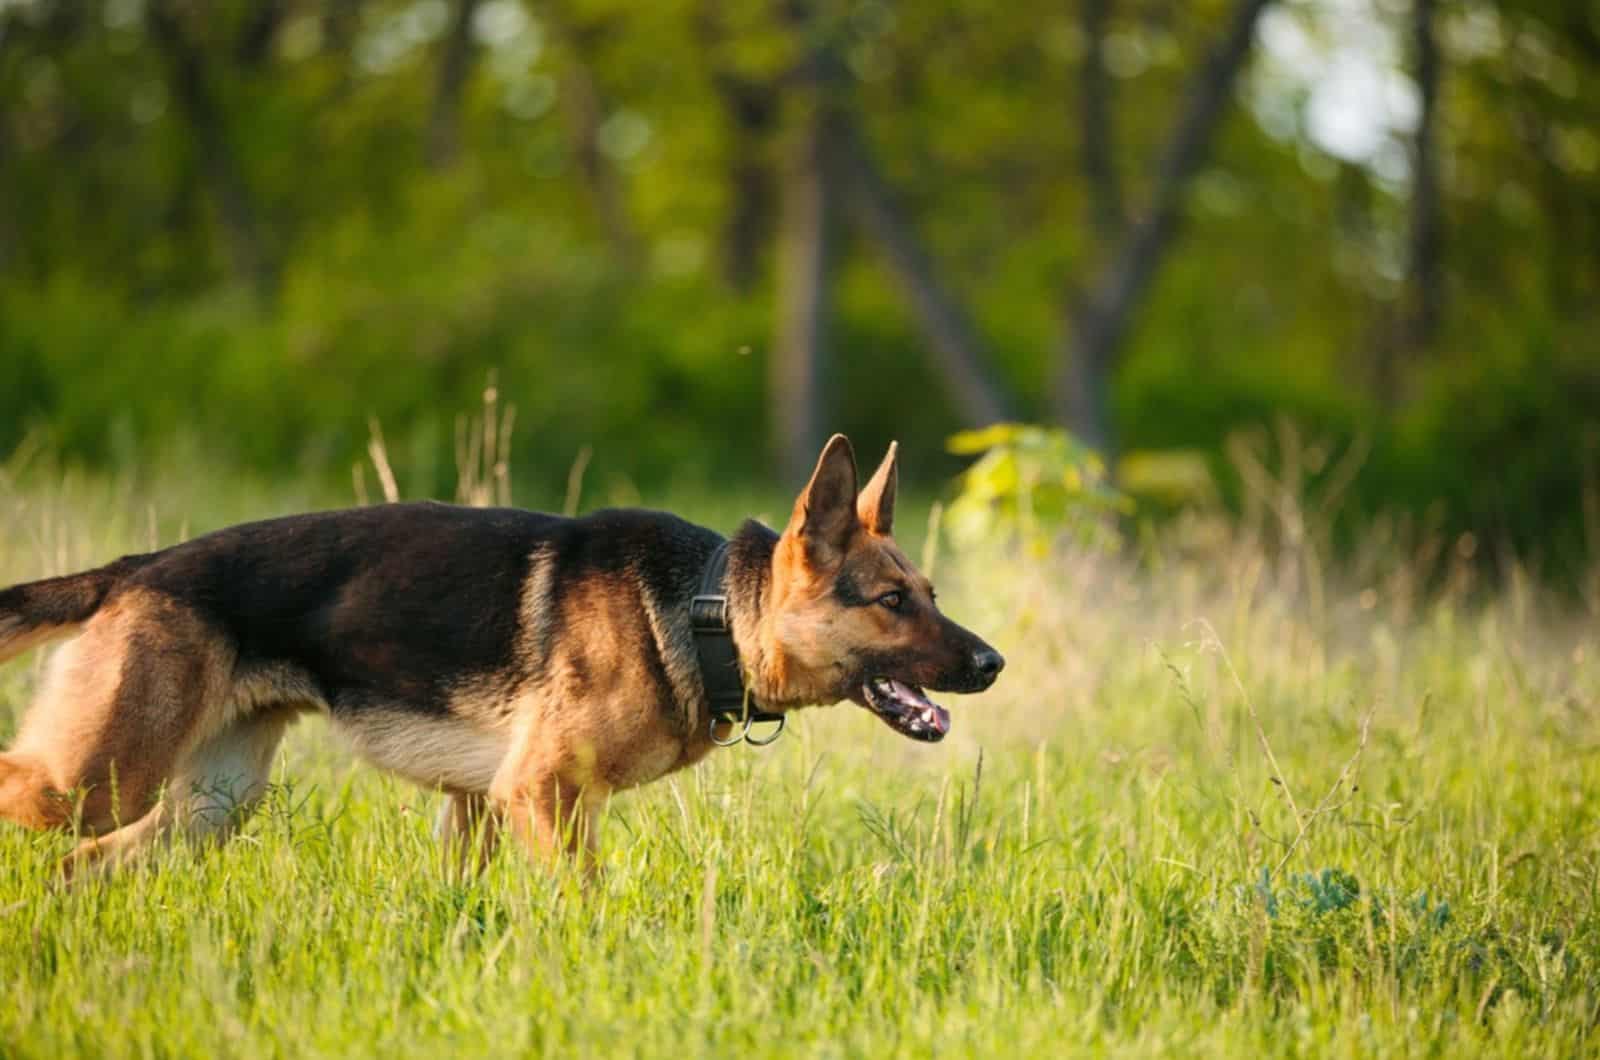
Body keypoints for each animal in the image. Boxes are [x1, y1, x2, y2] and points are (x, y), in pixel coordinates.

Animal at [0, 435, 998, 877]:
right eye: (892, 603)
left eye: (931, 594)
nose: (992, 665)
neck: (706, 608)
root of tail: (139, 567)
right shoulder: (541, 794)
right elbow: (586, 902)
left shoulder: (480, 805)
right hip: (96, 778)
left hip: (207, 808)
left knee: (76, 867)